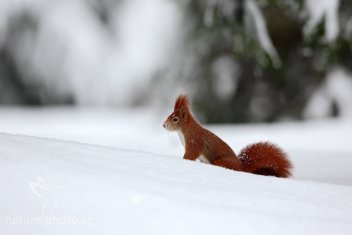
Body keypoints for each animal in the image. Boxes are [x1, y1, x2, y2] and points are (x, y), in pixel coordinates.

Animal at [164, 94, 292, 177]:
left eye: (175, 119)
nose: (164, 125)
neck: (184, 131)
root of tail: (241, 167)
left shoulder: (194, 141)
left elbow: (190, 155)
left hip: (220, 162)